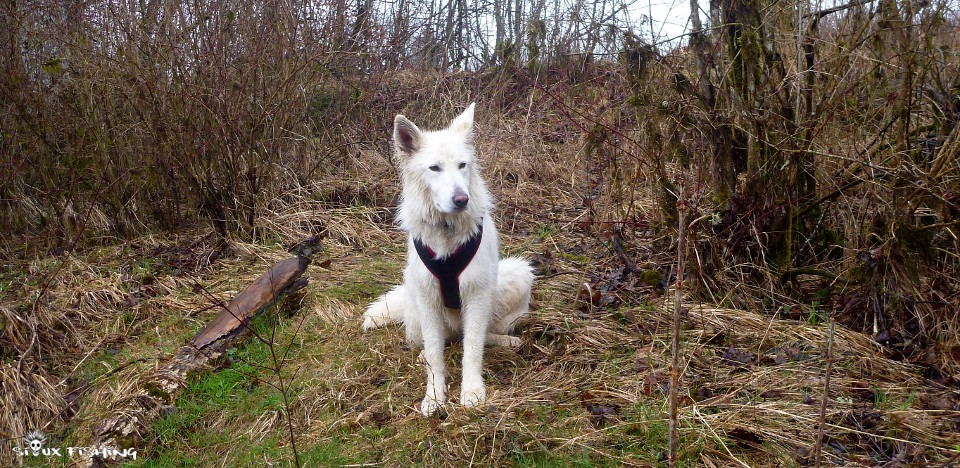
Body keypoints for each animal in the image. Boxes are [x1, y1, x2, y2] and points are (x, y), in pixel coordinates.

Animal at [364, 103, 536, 416]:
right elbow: (435, 354)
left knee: (476, 337)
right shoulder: (429, 299)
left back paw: (506, 341)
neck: (447, 230)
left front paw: (472, 391)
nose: (461, 200)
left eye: (462, 165)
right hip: (413, 298)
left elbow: (473, 347)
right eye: (435, 168)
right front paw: (434, 396)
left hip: (517, 275)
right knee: (438, 343)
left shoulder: (477, 295)